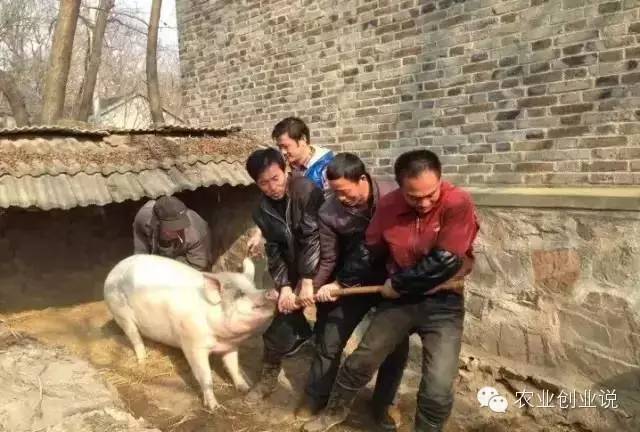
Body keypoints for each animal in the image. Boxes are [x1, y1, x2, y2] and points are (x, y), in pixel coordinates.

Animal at [103, 255, 278, 410]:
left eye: (255, 287)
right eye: (240, 294)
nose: (271, 291)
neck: (221, 338)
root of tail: (114, 269)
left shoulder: (231, 345)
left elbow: (233, 366)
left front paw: (245, 388)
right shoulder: (193, 344)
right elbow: (205, 376)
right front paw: (215, 407)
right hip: (120, 313)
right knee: (135, 338)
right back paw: (143, 360)